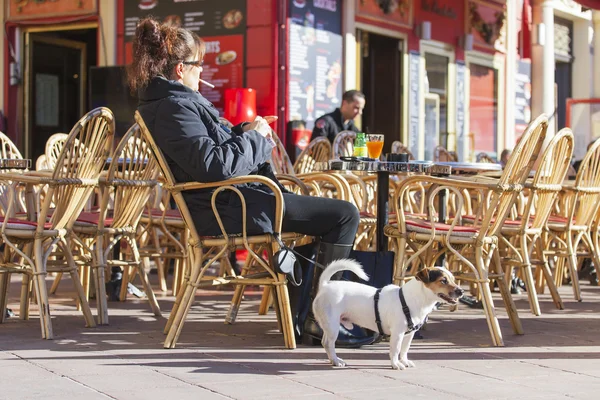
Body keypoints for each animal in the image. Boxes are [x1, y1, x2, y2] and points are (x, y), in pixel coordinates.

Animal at [314, 260, 464, 368]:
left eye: (453, 279)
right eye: (443, 281)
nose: (461, 291)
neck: (413, 300)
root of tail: (325, 285)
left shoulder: (409, 335)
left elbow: (404, 350)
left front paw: (404, 361)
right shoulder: (397, 333)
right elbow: (395, 350)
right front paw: (395, 364)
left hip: (330, 326)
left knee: (324, 342)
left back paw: (333, 360)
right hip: (333, 326)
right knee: (328, 343)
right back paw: (336, 361)